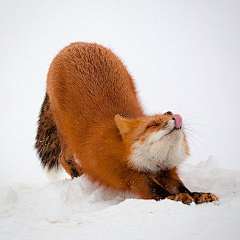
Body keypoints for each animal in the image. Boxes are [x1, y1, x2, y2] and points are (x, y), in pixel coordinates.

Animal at [35, 42, 218, 204]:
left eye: (168, 115)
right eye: (153, 124)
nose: (175, 117)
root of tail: (74, 44)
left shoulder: (166, 170)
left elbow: (180, 186)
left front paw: (197, 195)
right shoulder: (127, 174)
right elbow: (155, 189)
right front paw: (175, 198)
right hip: (65, 134)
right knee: (63, 157)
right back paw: (79, 175)